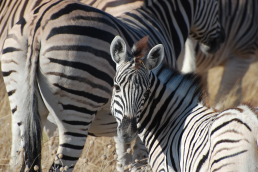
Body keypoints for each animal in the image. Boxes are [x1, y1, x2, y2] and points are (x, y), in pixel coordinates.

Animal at [1, 0, 224, 171]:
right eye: (218, 4)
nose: (218, 43)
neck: (160, 20)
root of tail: (39, 23)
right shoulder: (148, 126)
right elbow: (139, 163)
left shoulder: (122, 124)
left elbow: (123, 162)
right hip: (77, 111)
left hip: (22, 106)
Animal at [110, 35, 258, 172]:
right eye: (117, 87)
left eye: (146, 93)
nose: (128, 133)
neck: (166, 121)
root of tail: (253, 123)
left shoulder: (165, 168)